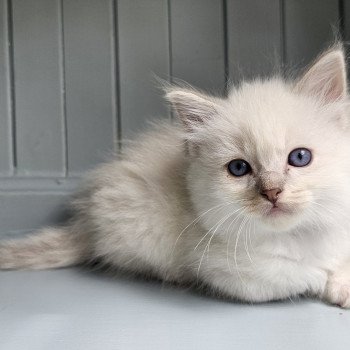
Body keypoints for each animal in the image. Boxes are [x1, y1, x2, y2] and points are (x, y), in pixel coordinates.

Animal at [0, 45, 350, 308]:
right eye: (239, 169)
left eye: (299, 158)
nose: (272, 192)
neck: (302, 235)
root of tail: (85, 222)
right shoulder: (229, 271)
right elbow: (302, 272)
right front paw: (335, 283)